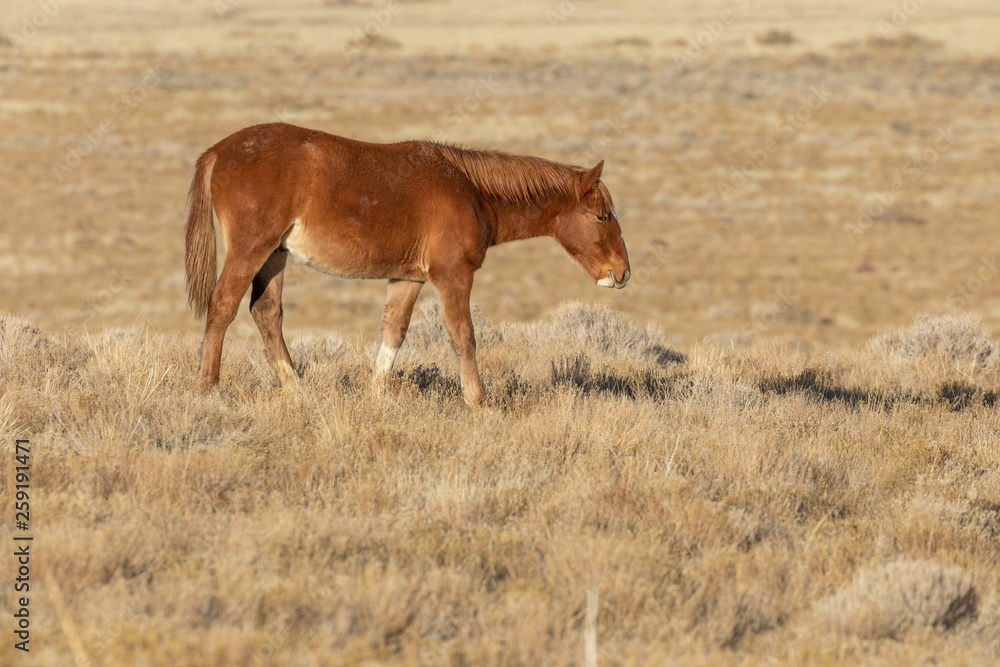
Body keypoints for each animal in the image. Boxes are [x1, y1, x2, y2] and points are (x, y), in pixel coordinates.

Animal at [184, 122, 630, 407]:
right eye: (601, 216)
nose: (622, 272)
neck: (470, 188)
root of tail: (219, 151)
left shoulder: (407, 278)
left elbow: (393, 332)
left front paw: (376, 395)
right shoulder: (453, 276)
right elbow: (463, 337)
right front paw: (480, 402)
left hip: (275, 255)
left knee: (266, 312)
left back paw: (296, 390)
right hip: (251, 249)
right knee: (222, 306)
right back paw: (207, 389)